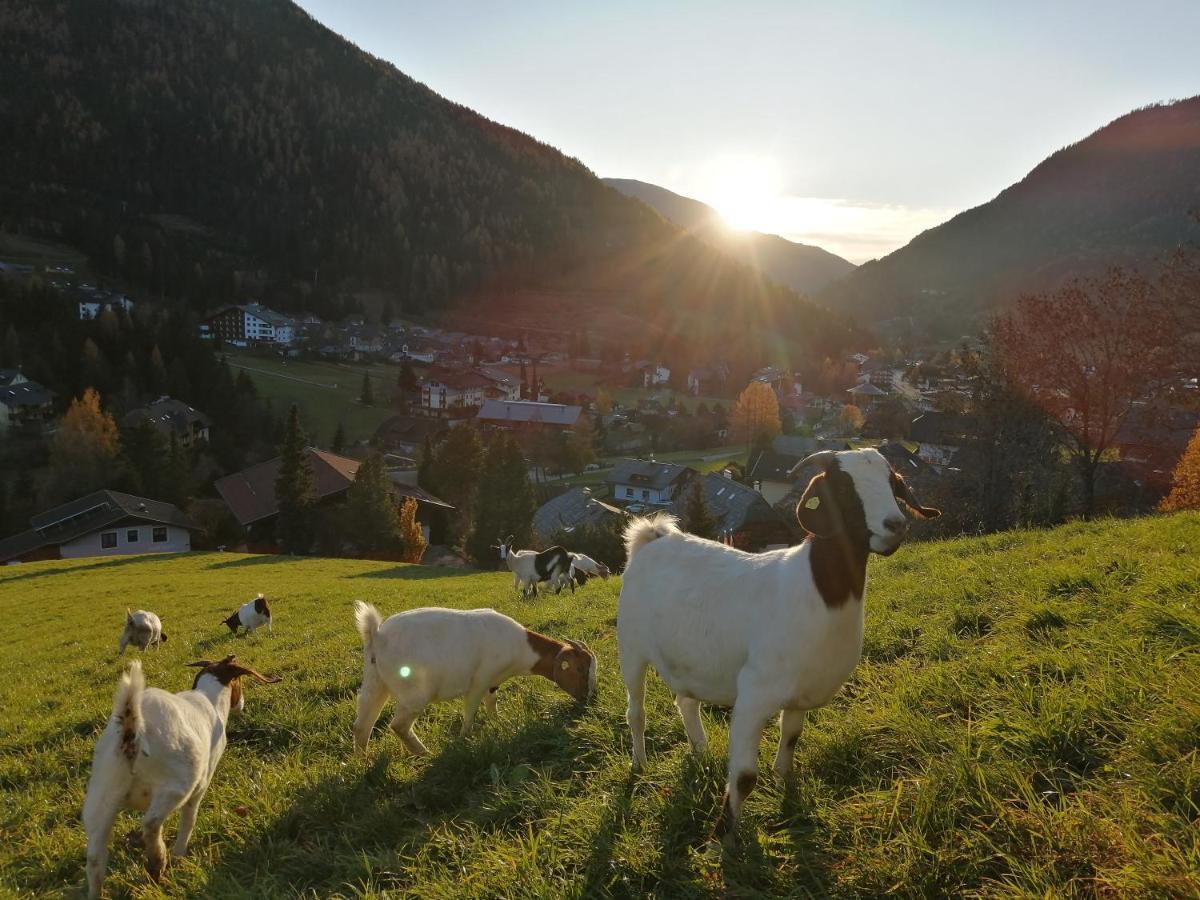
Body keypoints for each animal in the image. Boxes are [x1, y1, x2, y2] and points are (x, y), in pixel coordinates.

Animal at [82, 657, 283, 900]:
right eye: (239, 682)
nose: (241, 703)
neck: (208, 698)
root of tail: (131, 733)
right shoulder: (201, 784)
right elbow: (189, 819)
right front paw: (179, 855)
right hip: (176, 784)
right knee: (150, 823)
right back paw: (157, 862)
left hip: (101, 796)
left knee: (95, 857)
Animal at [352, 607, 597, 753]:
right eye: (580, 668)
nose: (589, 699)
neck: (521, 646)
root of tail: (377, 636)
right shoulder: (480, 681)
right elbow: (470, 711)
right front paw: (464, 740)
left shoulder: (492, 682)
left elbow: (492, 705)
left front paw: (501, 724)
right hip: (414, 693)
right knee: (399, 725)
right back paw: (424, 754)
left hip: (375, 681)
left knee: (362, 724)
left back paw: (363, 761)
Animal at [614, 451, 940, 844]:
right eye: (842, 489)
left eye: (894, 483)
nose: (895, 525)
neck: (819, 592)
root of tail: (652, 538)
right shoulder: (754, 695)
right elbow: (744, 777)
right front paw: (722, 839)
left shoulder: (800, 694)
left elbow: (792, 738)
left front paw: (786, 785)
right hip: (630, 647)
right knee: (636, 712)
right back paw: (640, 764)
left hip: (687, 661)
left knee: (687, 702)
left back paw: (701, 752)